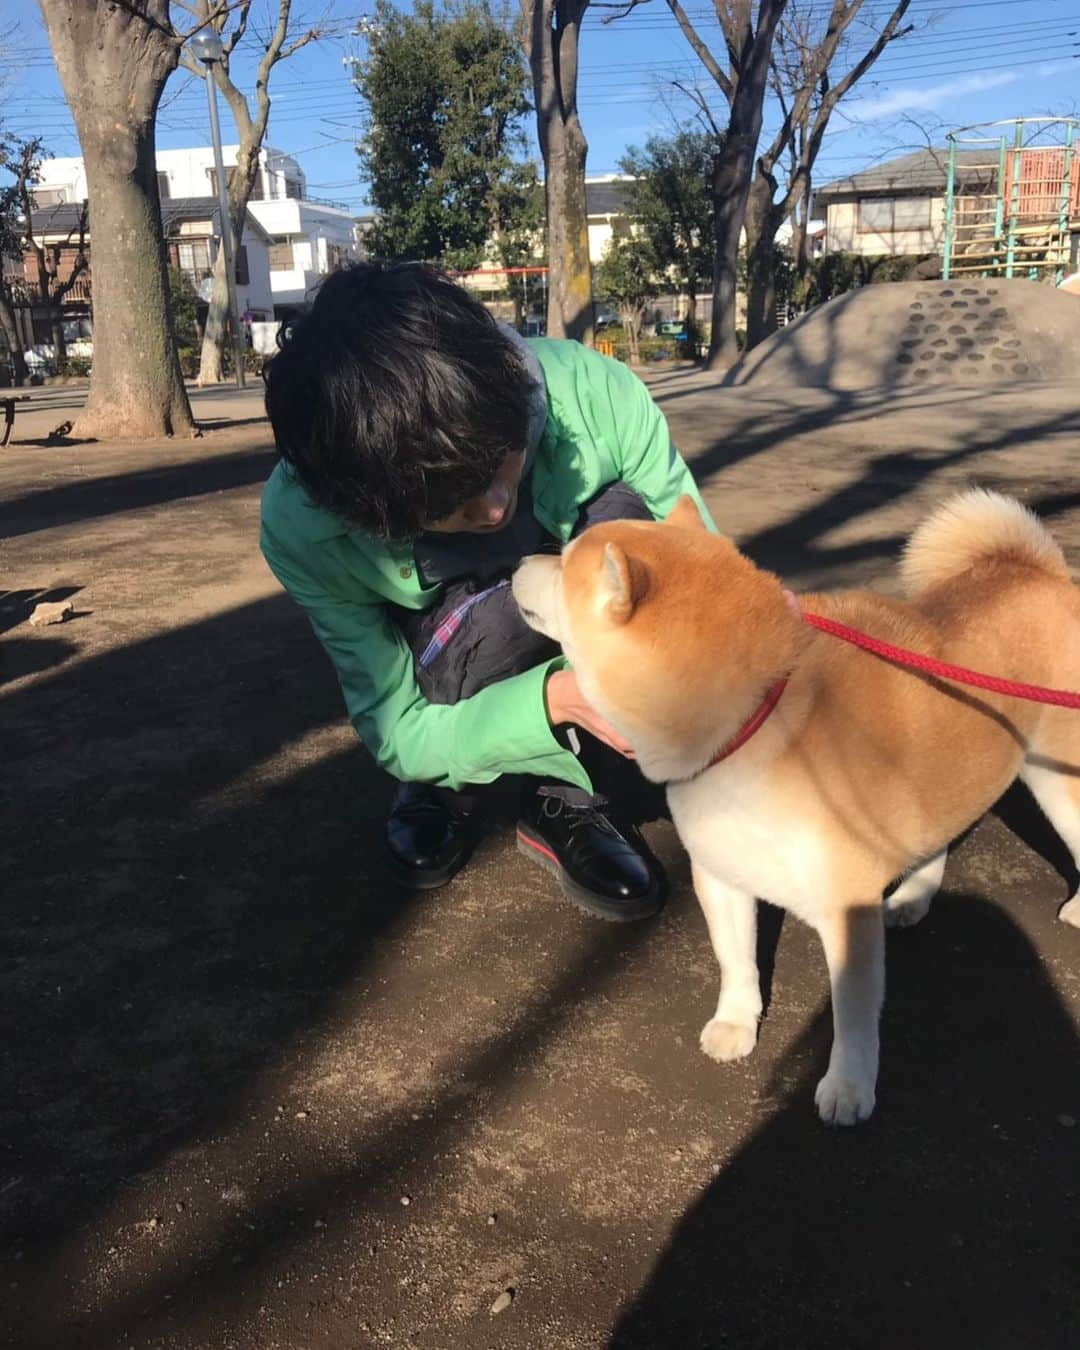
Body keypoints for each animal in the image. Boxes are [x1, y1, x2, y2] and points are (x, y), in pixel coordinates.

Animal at [515, 496, 1080, 1128]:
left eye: (564, 563)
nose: (520, 560)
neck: (755, 720)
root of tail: (1042, 574)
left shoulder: (846, 908)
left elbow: (853, 1019)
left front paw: (849, 1086)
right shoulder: (720, 874)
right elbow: (736, 960)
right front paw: (736, 1023)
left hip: (1060, 784)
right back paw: (912, 897)